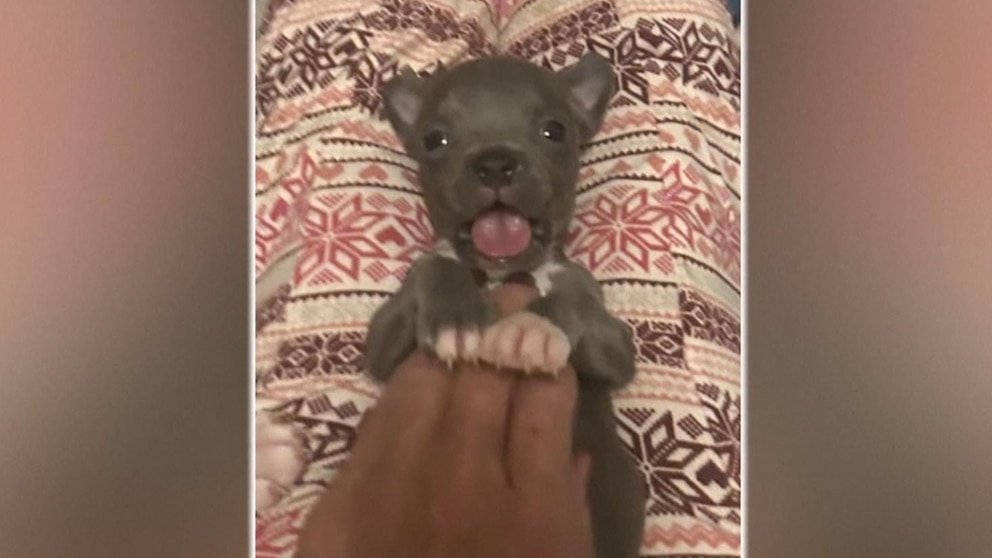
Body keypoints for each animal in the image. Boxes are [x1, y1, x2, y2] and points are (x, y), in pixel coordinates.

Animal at [366, 52, 646, 558]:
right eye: (433, 139)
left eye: (555, 130)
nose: (495, 162)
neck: (501, 271)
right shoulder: (382, 343)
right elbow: (434, 265)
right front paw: (456, 318)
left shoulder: (615, 349)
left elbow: (572, 296)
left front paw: (531, 330)